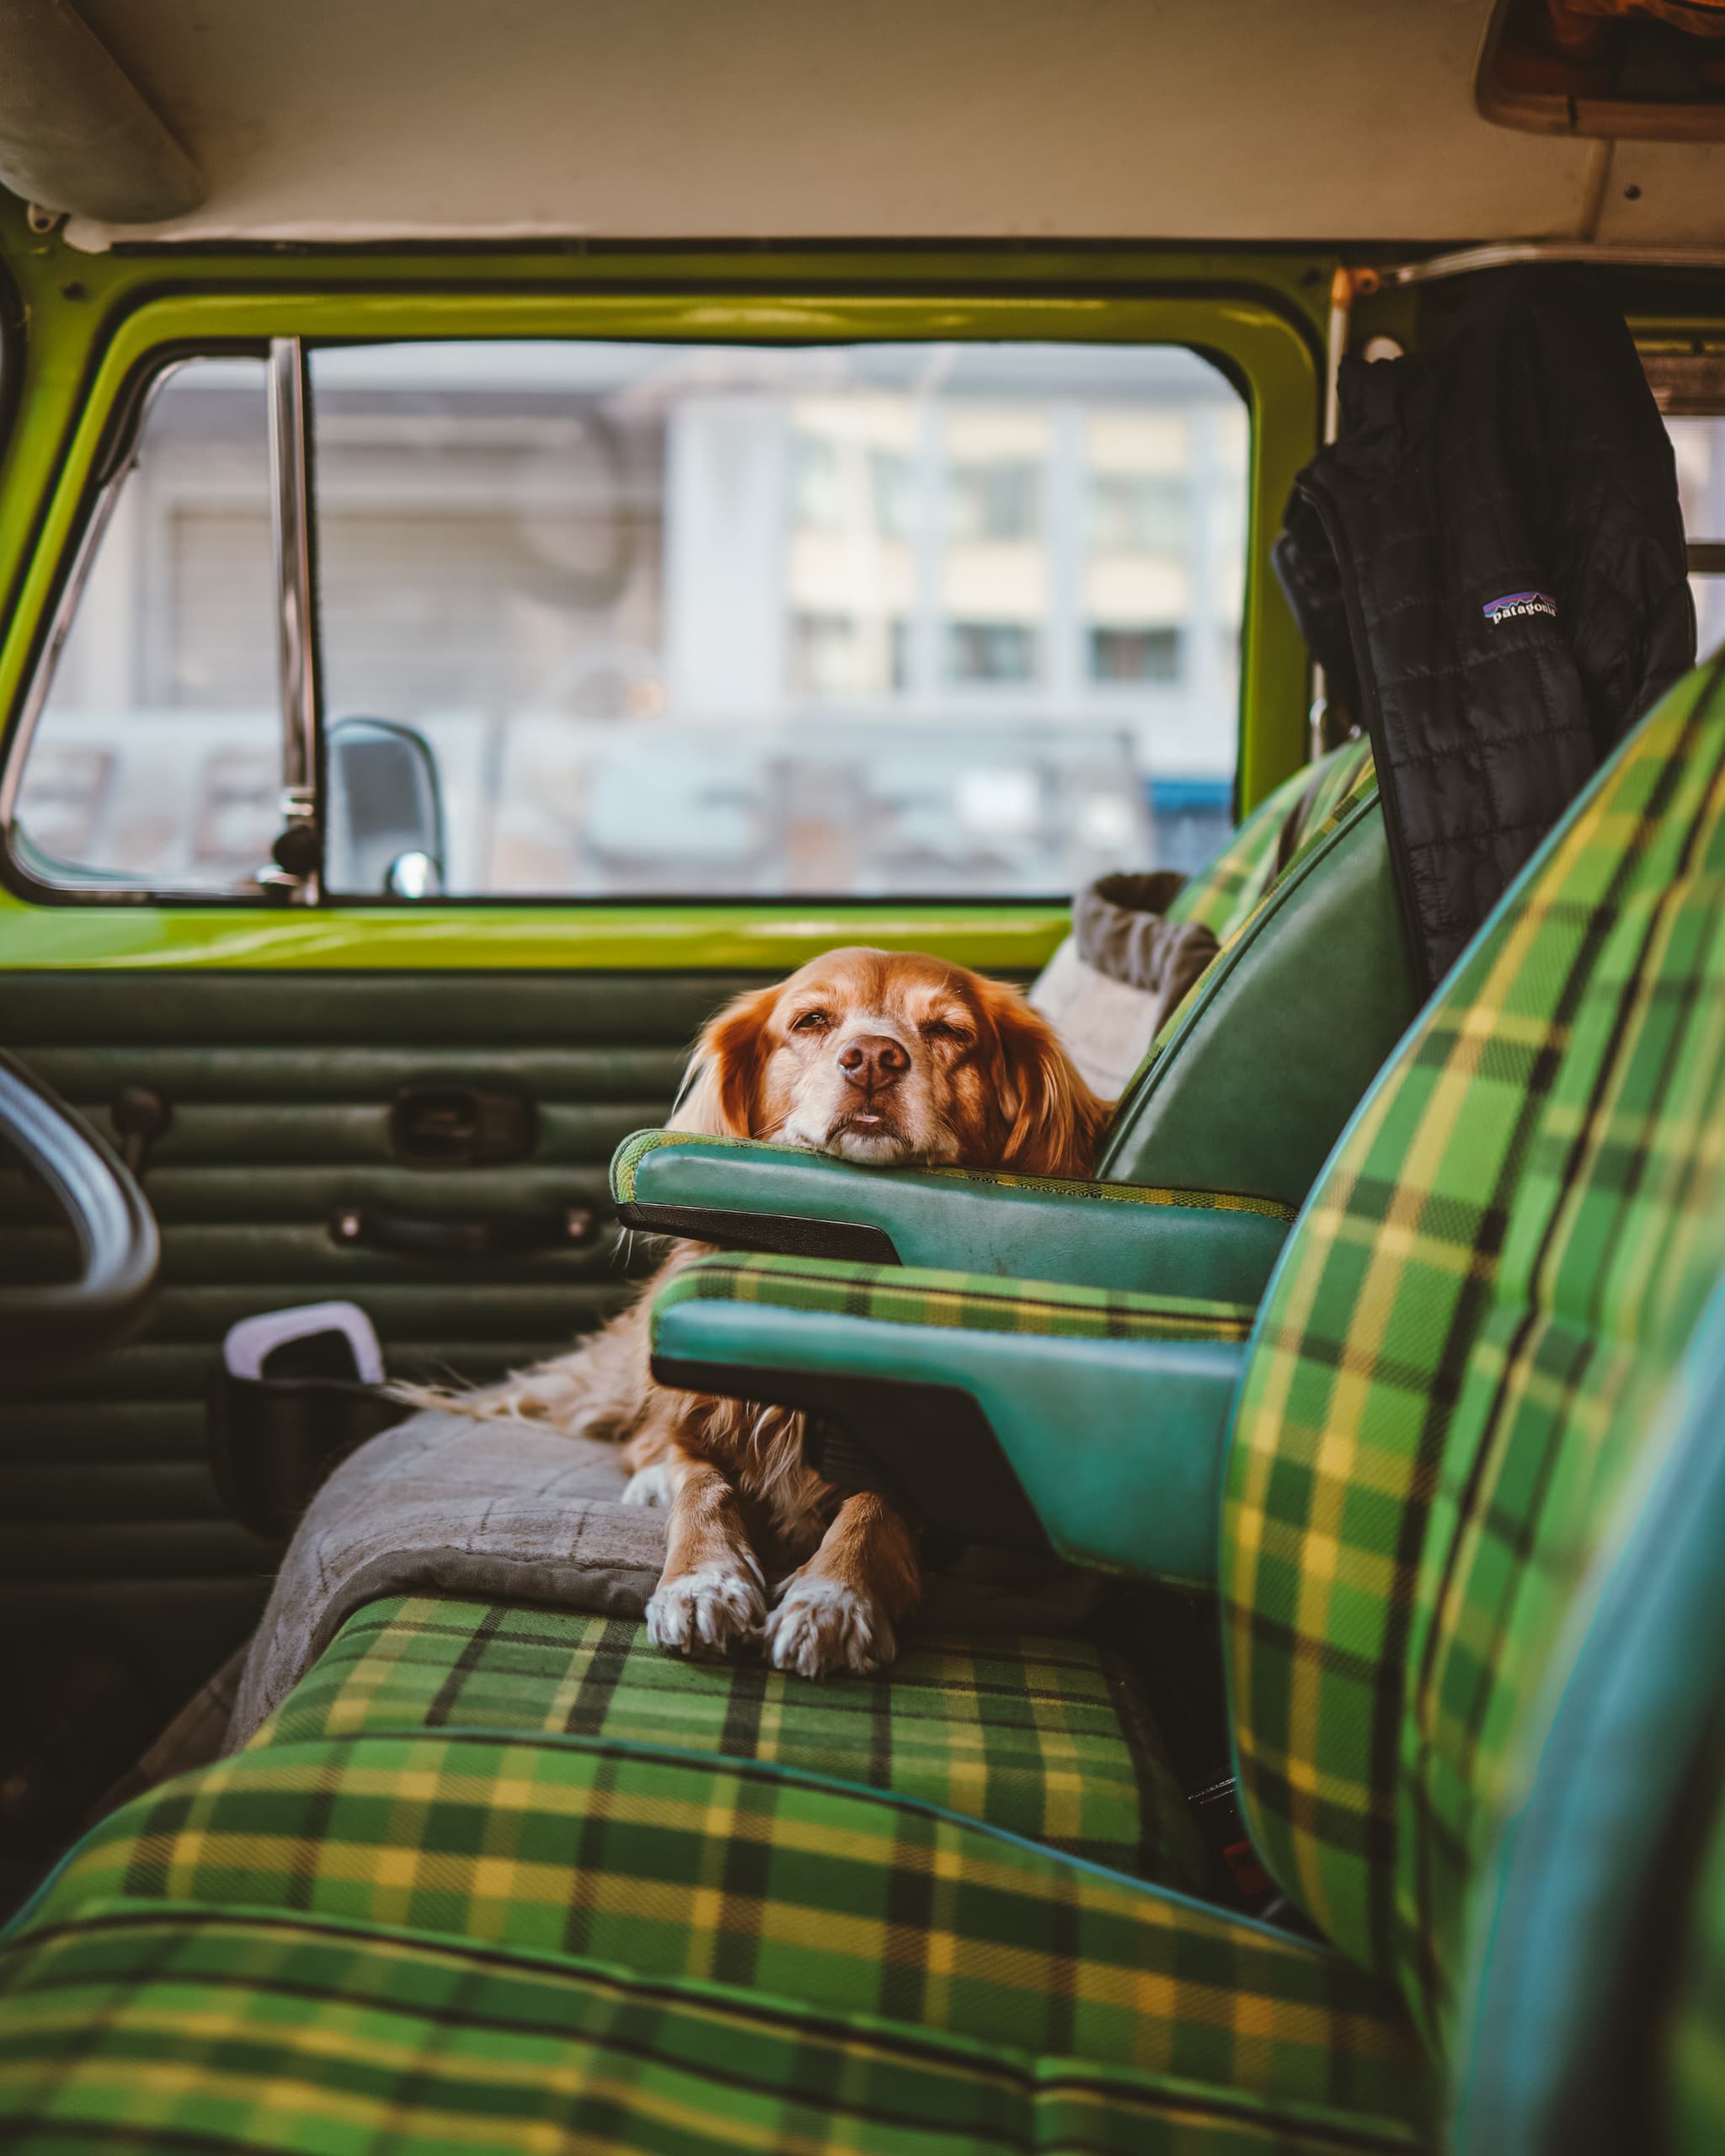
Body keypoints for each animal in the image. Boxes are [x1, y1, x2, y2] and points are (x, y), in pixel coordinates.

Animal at [425, 948, 1112, 1681]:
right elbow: (701, 1485)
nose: (873, 1058)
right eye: (811, 1021)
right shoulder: (700, 1422)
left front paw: (834, 1596)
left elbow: (874, 1510)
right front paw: (701, 1580)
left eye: (951, 1031)